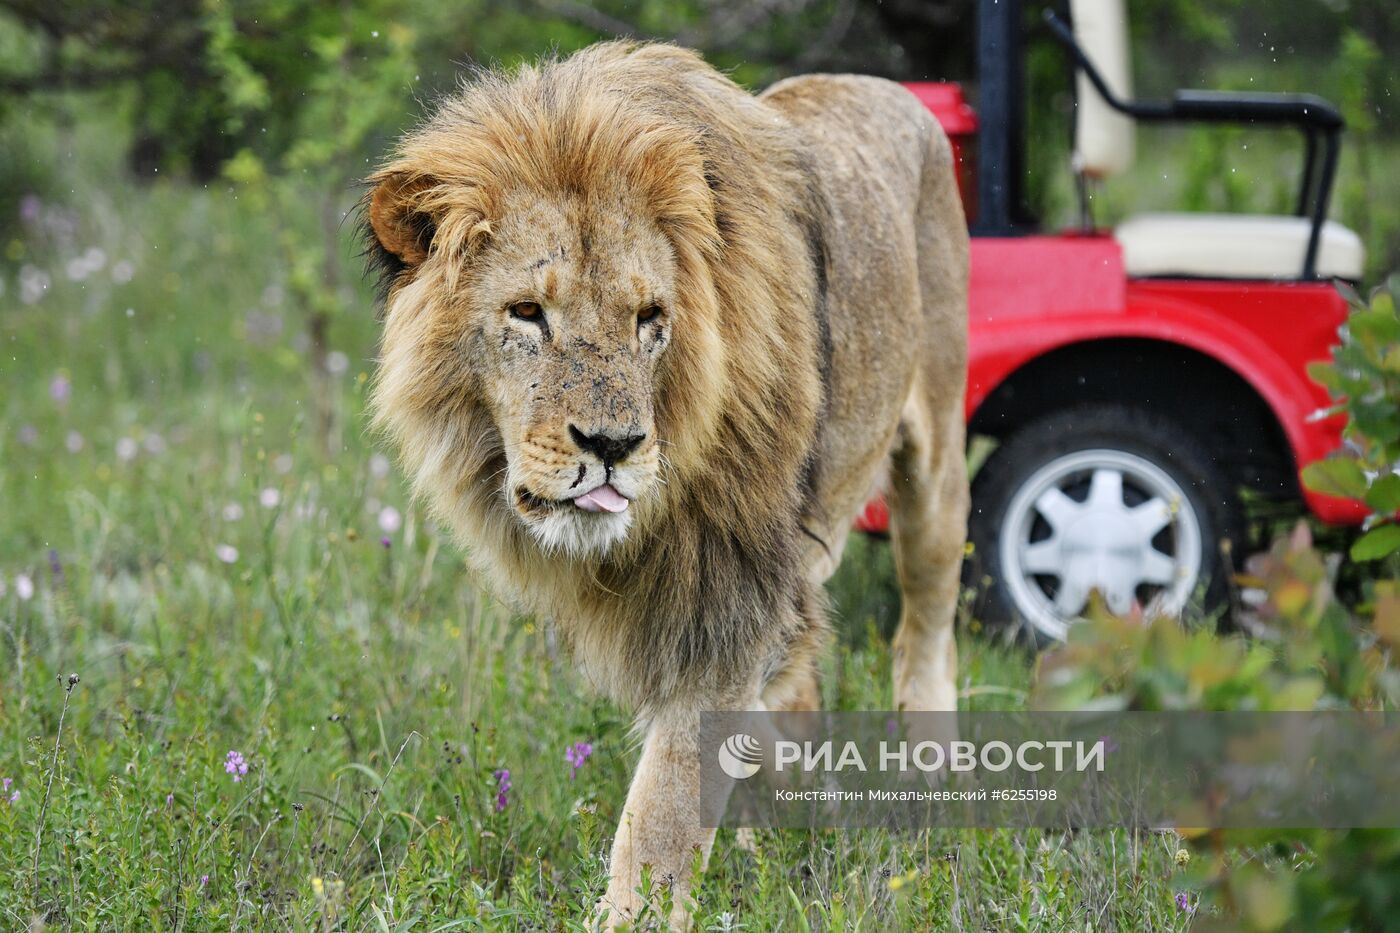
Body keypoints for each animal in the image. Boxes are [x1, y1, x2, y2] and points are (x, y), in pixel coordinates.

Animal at [366, 41, 968, 924]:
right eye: (527, 313)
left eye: (649, 318)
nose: (613, 446)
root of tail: (889, 89)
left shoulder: (728, 594)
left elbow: (663, 812)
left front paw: (636, 913)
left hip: (936, 461)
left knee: (924, 629)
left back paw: (932, 781)